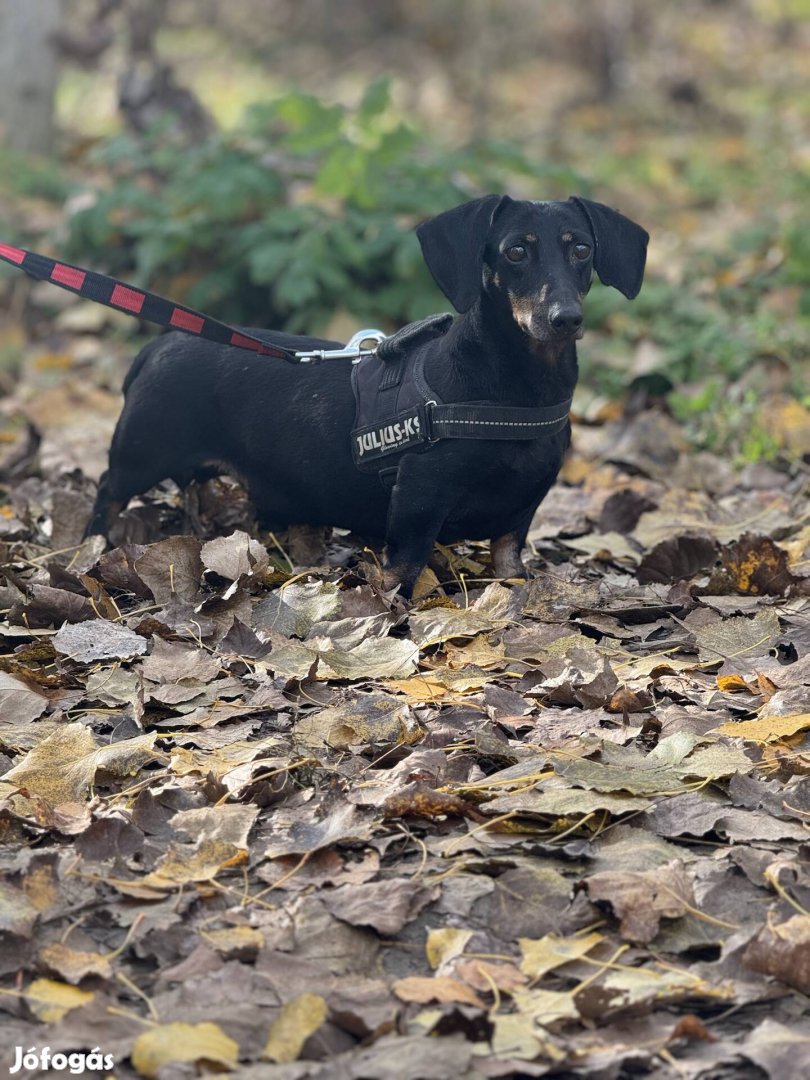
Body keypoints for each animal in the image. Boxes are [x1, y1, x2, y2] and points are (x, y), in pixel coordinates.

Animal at [87, 197, 648, 596]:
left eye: (582, 249)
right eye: (515, 251)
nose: (565, 319)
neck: (515, 393)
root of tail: (161, 343)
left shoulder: (521, 512)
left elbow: (510, 559)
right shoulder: (419, 499)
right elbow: (404, 568)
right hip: (141, 455)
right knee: (108, 489)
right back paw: (94, 543)